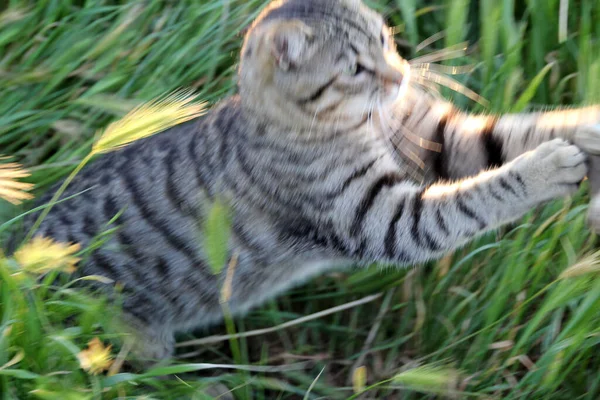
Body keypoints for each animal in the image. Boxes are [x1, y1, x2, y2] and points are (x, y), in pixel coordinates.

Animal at [19, 0, 600, 360]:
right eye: (355, 69)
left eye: (385, 38)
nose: (401, 75)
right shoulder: (378, 219)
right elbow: (474, 198)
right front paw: (545, 168)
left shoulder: (431, 137)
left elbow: (511, 135)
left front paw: (585, 128)